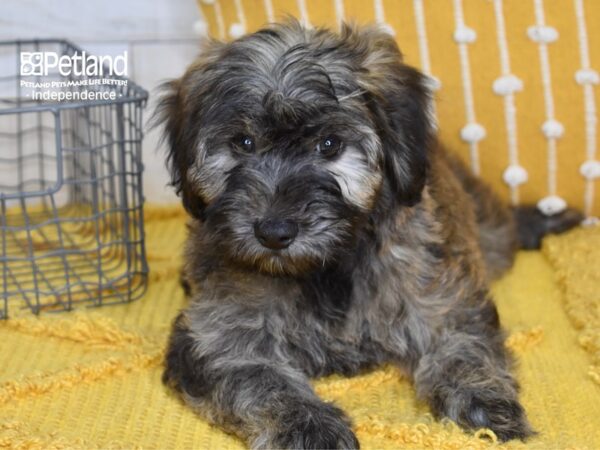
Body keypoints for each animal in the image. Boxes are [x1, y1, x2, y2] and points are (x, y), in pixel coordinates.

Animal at [155, 22, 580, 450]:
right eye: (243, 143)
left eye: (330, 144)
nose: (274, 232)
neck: (325, 268)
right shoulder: (214, 334)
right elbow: (257, 377)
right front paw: (308, 425)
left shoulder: (441, 297)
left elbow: (462, 345)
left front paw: (483, 397)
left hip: (484, 231)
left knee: (500, 232)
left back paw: (539, 221)